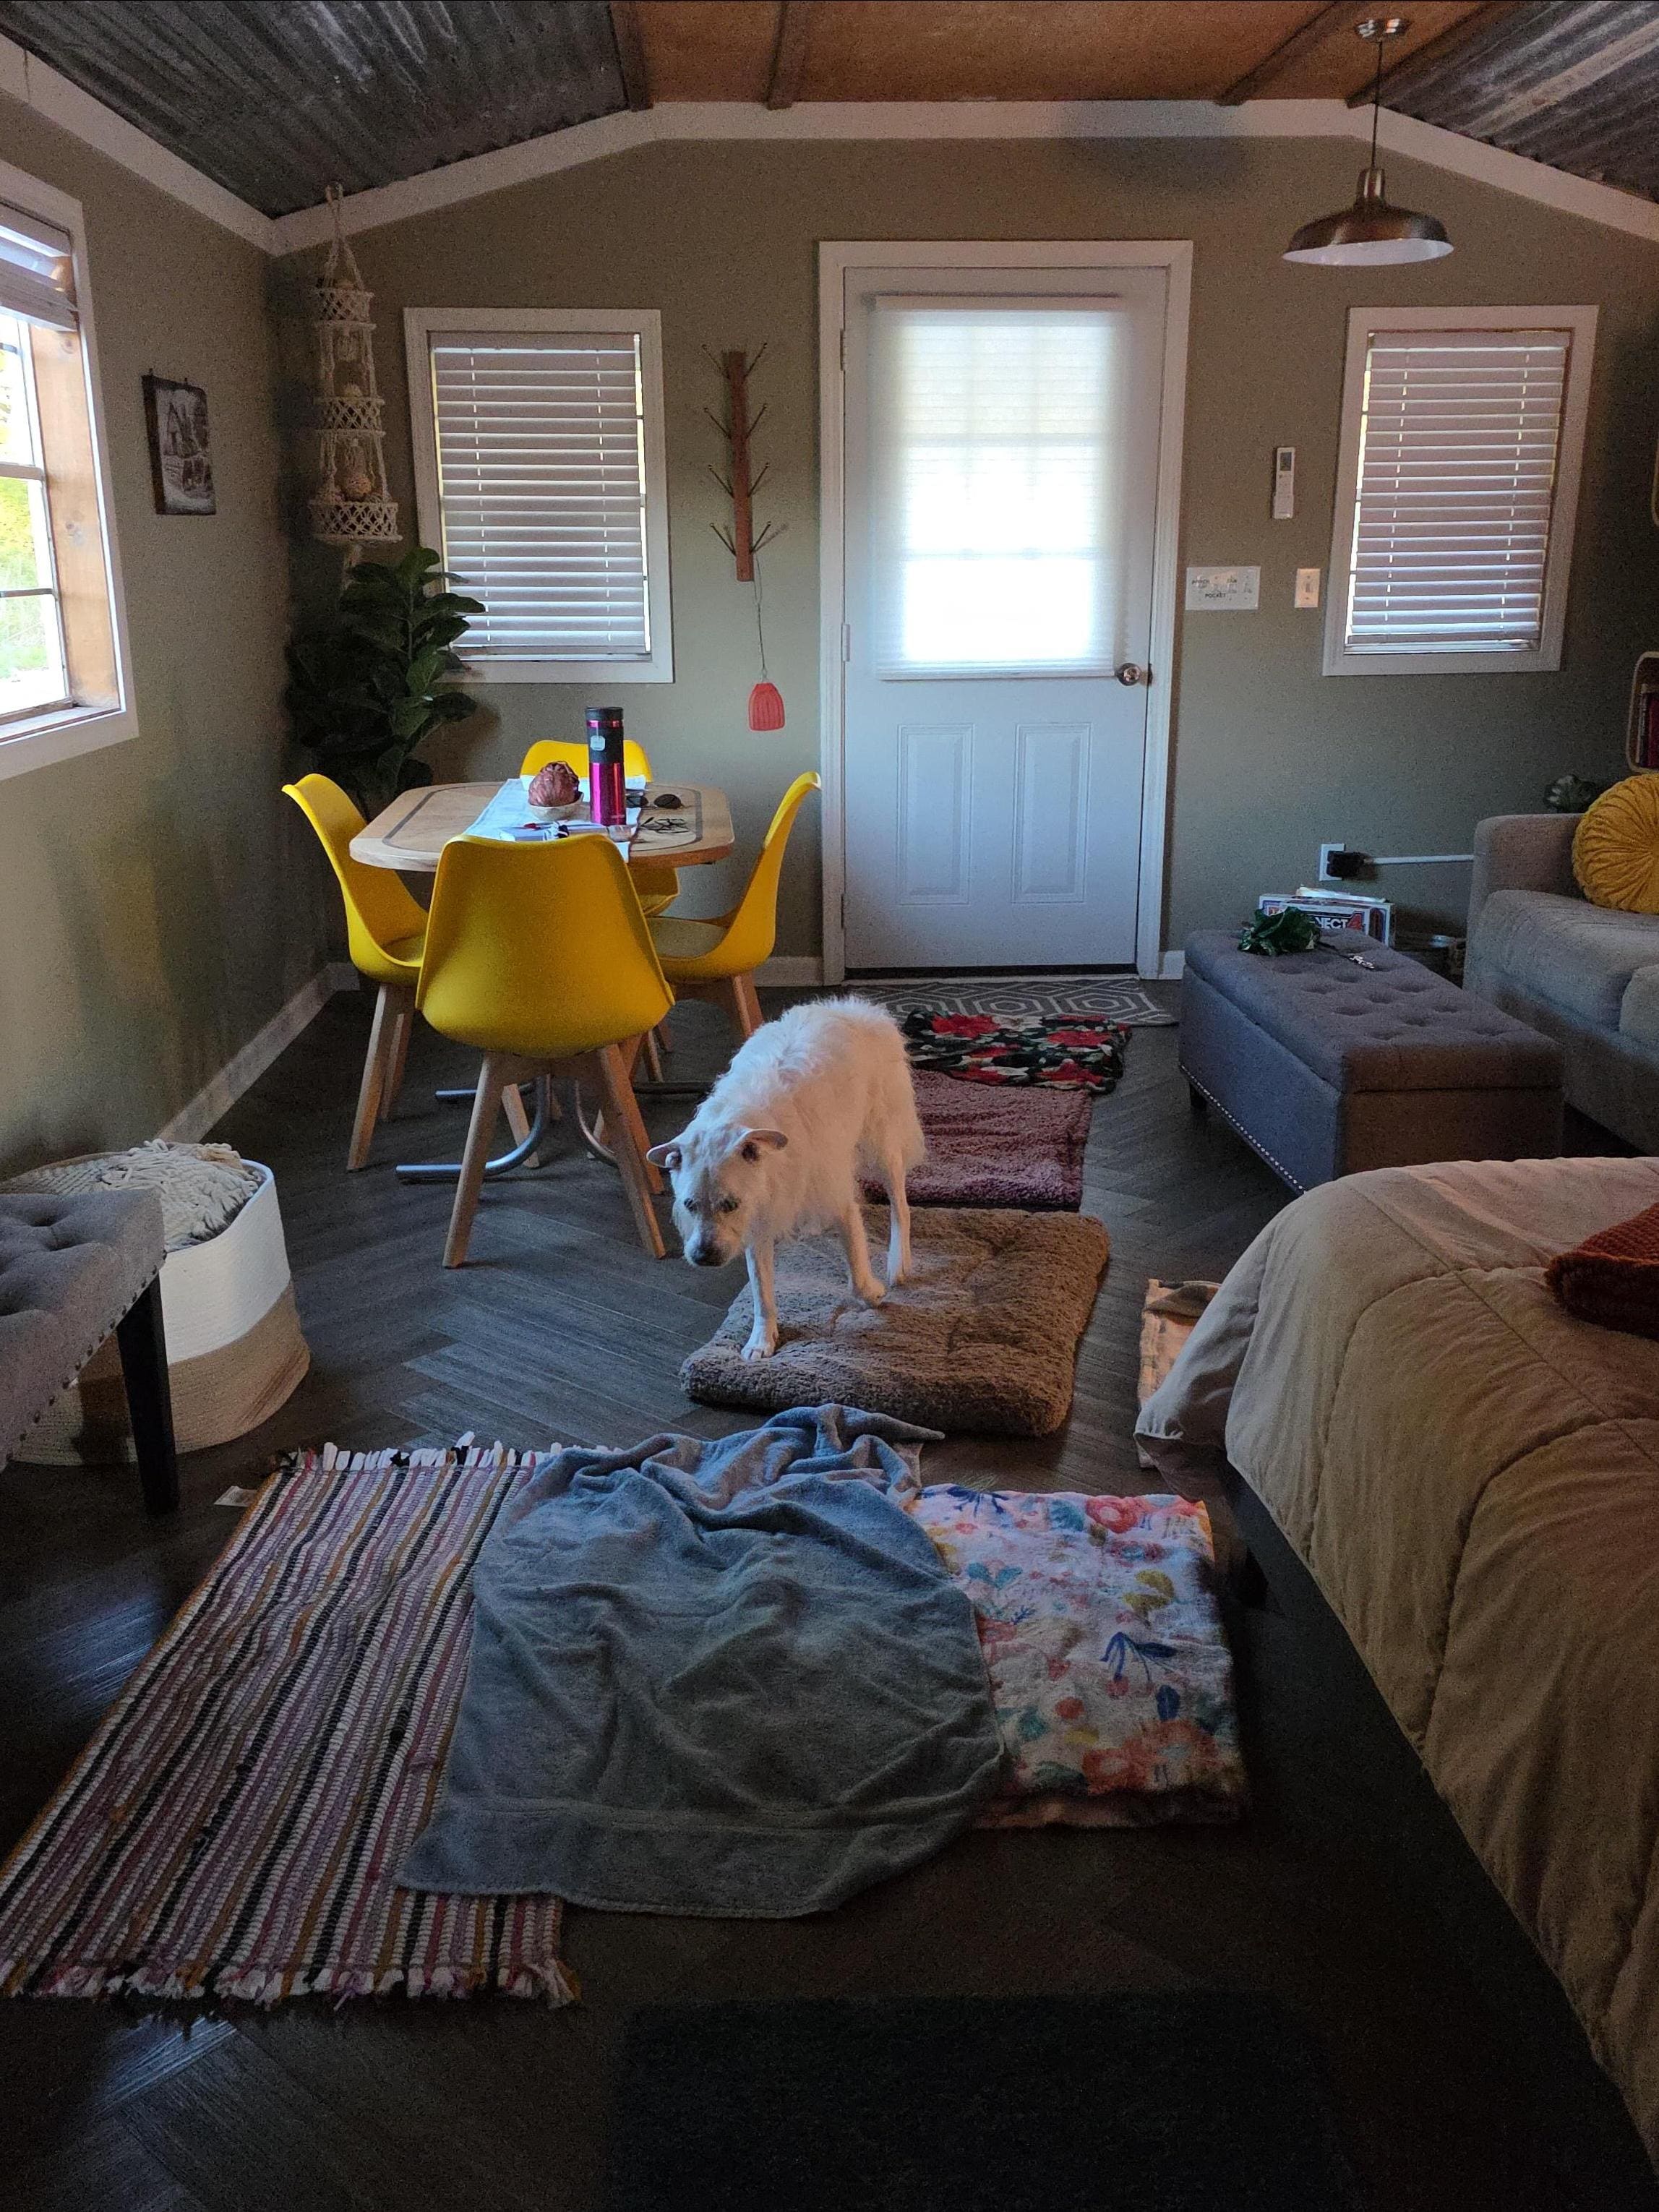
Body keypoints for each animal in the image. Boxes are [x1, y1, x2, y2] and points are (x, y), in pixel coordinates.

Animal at [646, 998, 925, 1361]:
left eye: (730, 1204)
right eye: (689, 1205)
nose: (703, 1257)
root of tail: (852, 1008)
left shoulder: (837, 1200)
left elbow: (856, 1264)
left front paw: (871, 1293)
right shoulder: (758, 1222)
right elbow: (761, 1289)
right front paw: (761, 1340)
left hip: (883, 1145)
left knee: (900, 1206)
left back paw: (898, 1262)